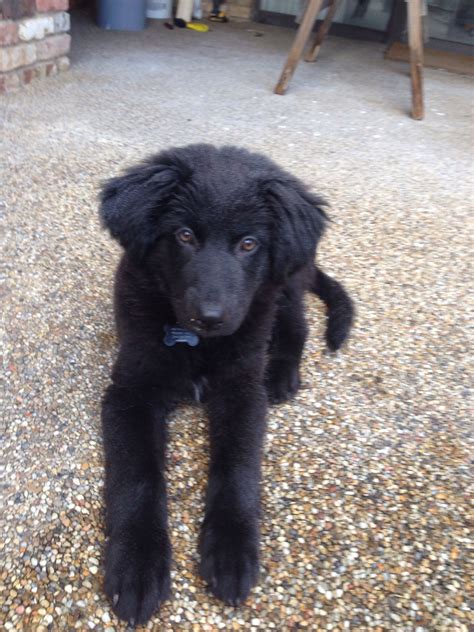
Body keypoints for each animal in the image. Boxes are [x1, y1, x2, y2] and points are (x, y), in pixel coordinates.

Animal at [98, 143, 354, 624]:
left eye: (248, 243)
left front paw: (232, 549)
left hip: (282, 283)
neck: (197, 343)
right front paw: (138, 564)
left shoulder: (242, 390)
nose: (211, 317)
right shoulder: (129, 391)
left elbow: (238, 467)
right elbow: (137, 475)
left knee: (297, 323)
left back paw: (283, 372)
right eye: (184, 236)